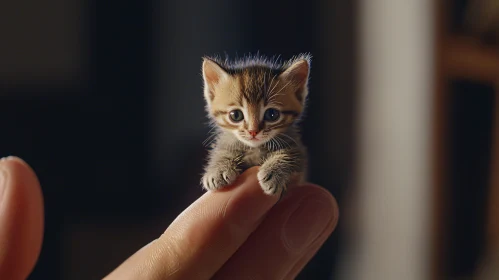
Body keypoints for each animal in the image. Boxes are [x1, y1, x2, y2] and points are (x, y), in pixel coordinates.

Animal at [201, 53, 310, 196]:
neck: (255, 148)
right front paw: (218, 169)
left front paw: (274, 173)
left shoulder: (298, 150)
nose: (253, 131)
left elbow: (292, 155)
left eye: (272, 114)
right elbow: (223, 150)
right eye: (236, 115)